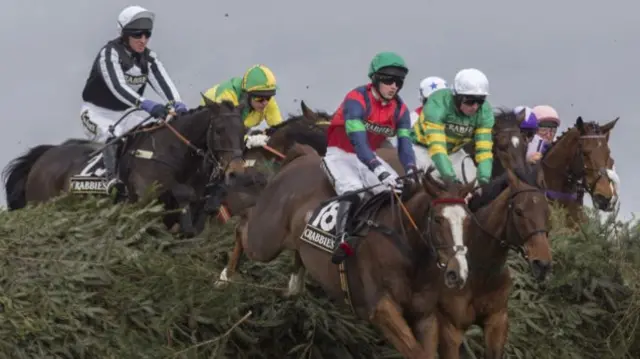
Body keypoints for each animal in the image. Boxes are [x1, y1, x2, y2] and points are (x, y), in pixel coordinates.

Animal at [1, 100, 248, 238]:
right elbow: (181, 193)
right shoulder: (145, 197)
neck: (170, 152)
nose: (236, 172)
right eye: (219, 130)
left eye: (243, 131)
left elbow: (202, 209)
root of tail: (44, 156)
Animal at [219, 142, 476, 358]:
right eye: (438, 220)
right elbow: (416, 352)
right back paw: (225, 276)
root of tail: (303, 157)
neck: (407, 249)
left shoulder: (425, 316)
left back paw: (294, 283)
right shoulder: (381, 309)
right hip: (264, 240)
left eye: (467, 221)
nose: (458, 274)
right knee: (243, 226)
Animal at [424, 164, 552, 359]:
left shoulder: (497, 321)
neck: (480, 274)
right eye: (519, 211)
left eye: (547, 211)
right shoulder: (449, 329)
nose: (543, 264)